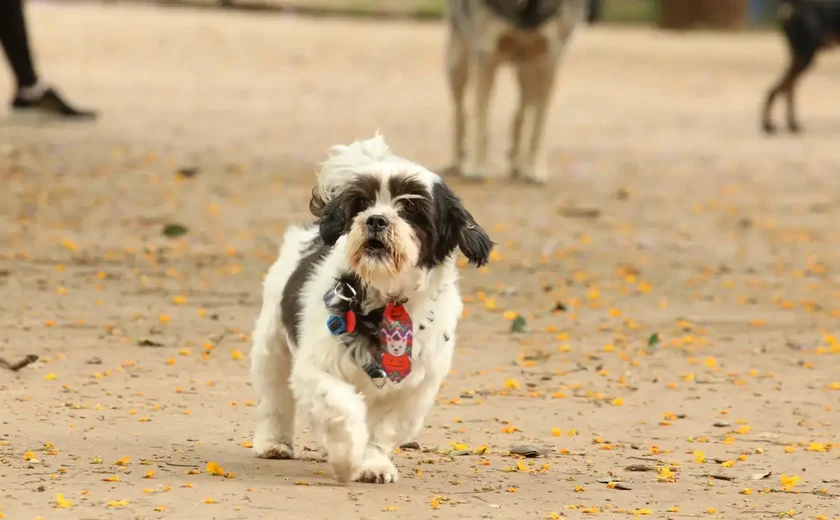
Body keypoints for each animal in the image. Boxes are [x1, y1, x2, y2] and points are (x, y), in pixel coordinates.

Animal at [246, 134, 492, 484]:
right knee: (275, 395)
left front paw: (373, 463)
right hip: (273, 345)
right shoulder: (317, 368)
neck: (387, 299)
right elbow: (342, 407)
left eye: (411, 208)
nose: (376, 219)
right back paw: (274, 442)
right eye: (362, 203)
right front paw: (347, 457)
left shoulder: (414, 388)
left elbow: (384, 429)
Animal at [442, 0, 588, 183]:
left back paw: (518, 160)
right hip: (457, 64)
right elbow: (481, 122)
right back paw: (456, 159)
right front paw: (476, 167)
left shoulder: (549, 61)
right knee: (460, 111)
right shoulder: (486, 55)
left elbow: (539, 126)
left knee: (523, 110)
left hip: (527, 72)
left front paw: (534, 168)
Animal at [760, 0, 840, 134]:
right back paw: (773, 125)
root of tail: (796, 7)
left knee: (786, 88)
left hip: (798, 58)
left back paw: (789, 125)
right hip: (805, 56)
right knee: (782, 88)